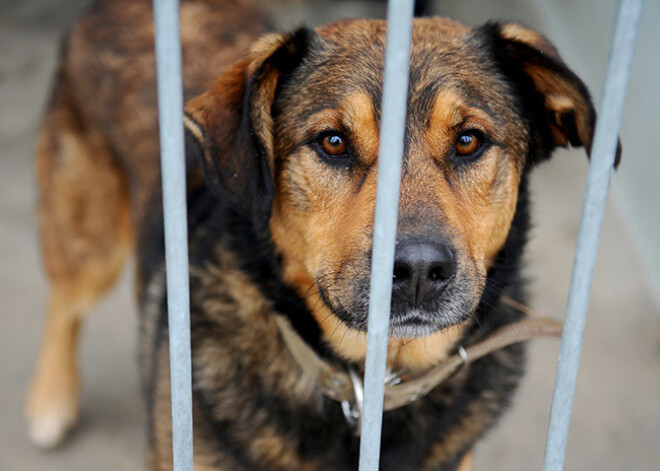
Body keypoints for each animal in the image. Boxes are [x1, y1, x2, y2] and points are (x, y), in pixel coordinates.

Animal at [27, 0, 608, 470]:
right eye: (332, 142)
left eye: (469, 141)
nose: (419, 271)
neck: (369, 384)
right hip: (88, 238)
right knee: (64, 302)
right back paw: (50, 401)